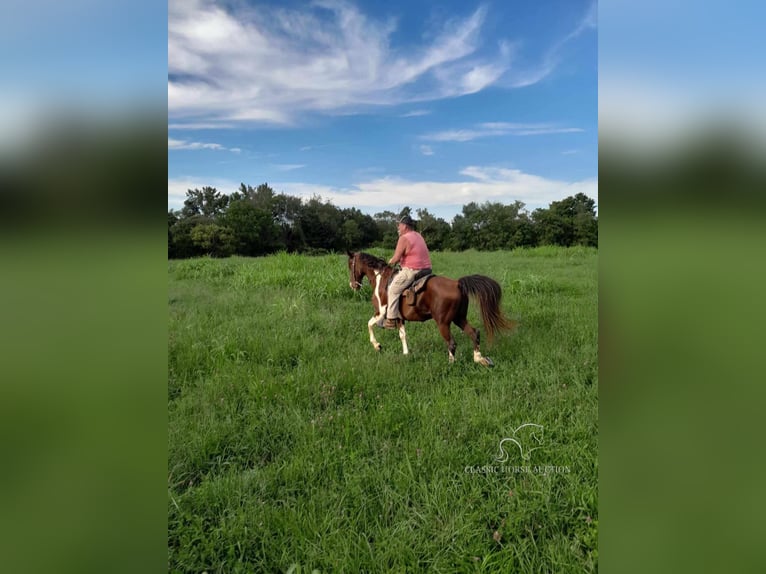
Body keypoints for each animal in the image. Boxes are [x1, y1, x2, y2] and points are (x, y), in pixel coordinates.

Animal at [346, 251, 516, 366]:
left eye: (349, 265)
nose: (353, 285)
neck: (381, 279)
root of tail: (458, 284)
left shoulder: (380, 312)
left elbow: (369, 325)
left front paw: (377, 346)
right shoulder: (399, 318)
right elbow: (403, 335)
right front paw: (406, 354)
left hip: (443, 323)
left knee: (452, 343)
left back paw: (451, 364)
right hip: (459, 318)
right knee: (474, 333)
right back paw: (478, 358)